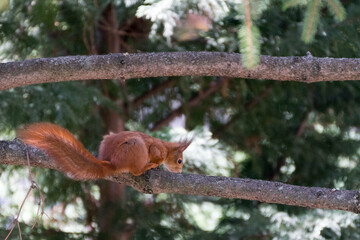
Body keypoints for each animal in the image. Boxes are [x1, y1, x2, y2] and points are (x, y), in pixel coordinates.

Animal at [16, 123, 191, 179]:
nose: (180, 172)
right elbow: (156, 155)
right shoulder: (157, 148)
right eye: (180, 161)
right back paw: (147, 166)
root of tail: (112, 163)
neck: (166, 148)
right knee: (135, 171)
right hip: (136, 146)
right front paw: (157, 164)